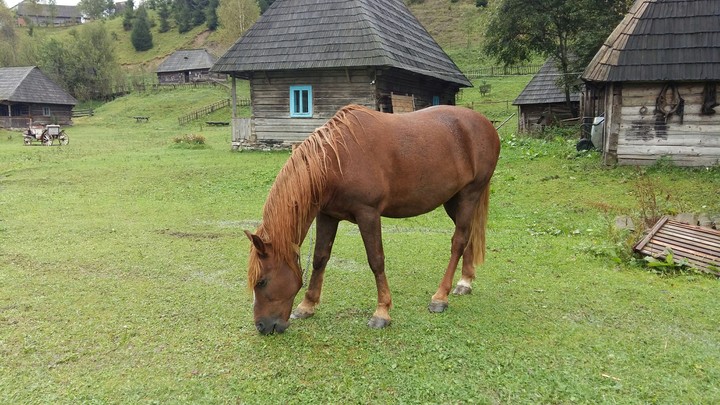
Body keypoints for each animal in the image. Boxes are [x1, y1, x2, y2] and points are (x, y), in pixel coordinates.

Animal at [244, 104, 500, 334]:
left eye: (262, 281)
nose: (262, 326)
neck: (336, 160)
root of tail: (486, 124)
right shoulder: (327, 215)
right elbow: (320, 258)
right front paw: (307, 305)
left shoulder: (368, 214)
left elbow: (376, 260)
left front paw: (382, 313)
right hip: (454, 200)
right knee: (467, 235)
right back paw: (465, 282)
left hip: (469, 194)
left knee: (458, 241)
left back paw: (440, 297)